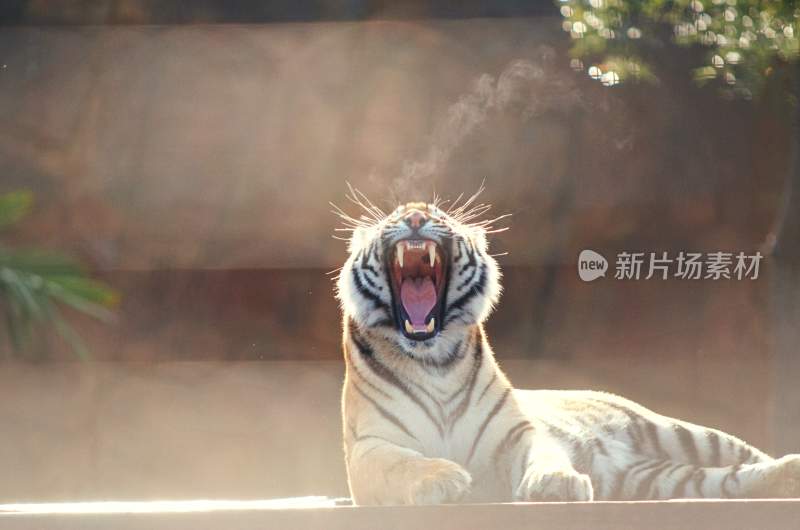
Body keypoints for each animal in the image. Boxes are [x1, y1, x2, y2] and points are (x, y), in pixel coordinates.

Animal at [336, 195, 800, 504]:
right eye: (393, 219)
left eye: (439, 216)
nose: (415, 216)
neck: (434, 360)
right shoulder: (369, 445)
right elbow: (401, 462)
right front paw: (440, 480)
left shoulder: (515, 432)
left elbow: (543, 452)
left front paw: (557, 483)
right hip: (654, 478)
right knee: (724, 480)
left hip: (680, 431)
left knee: (745, 456)